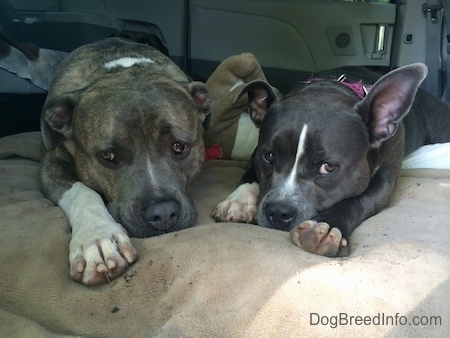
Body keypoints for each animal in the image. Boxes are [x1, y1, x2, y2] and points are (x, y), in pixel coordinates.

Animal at [39, 37, 212, 286]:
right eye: (108, 156)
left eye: (179, 146)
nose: (162, 213)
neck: (122, 68)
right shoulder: (50, 164)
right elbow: (81, 192)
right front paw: (98, 238)